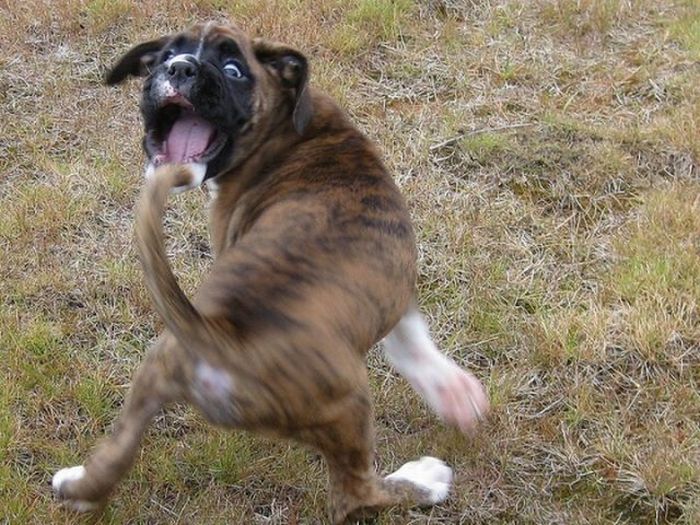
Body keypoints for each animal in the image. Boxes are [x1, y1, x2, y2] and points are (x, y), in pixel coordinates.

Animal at [52, 22, 490, 523]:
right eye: (165, 55)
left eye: (233, 69)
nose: (179, 68)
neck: (290, 128)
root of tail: (220, 335)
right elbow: (407, 336)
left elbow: (409, 337)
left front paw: (453, 392)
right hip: (347, 406)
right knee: (356, 493)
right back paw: (424, 481)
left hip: (154, 372)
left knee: (114, 455)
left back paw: (76, 485)